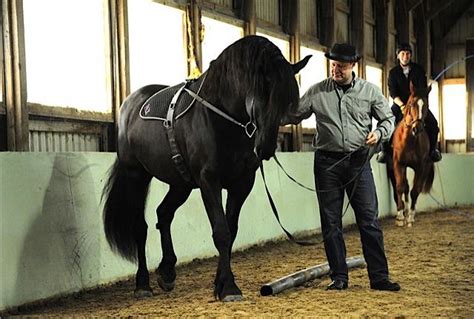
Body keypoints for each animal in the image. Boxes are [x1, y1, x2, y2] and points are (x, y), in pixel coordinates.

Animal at [103, 35, 312, 302]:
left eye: (286, 100)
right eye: (263, 92)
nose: (265, 148)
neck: (220, 117)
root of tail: (128, 105)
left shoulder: (242, 183)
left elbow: (231, 231)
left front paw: (219, 283)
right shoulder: (208, 181)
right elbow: (221, 231)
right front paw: (230, 287)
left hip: (180, 184)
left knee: (164, 214)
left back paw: (167, 272)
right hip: (137, 176)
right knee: (140, 227)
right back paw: (143, 284)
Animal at [392, 82, 434, 228]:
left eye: (426, 104)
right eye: (411, 104)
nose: (417, 128)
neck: (410, 140)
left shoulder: (421, 167)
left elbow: (415, 190)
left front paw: (410, 217)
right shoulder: (399, 164)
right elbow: (400, 187)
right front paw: (400, 217)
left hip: (426, 167)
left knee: (416, 188)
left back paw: (411, 214)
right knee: (405, 186)